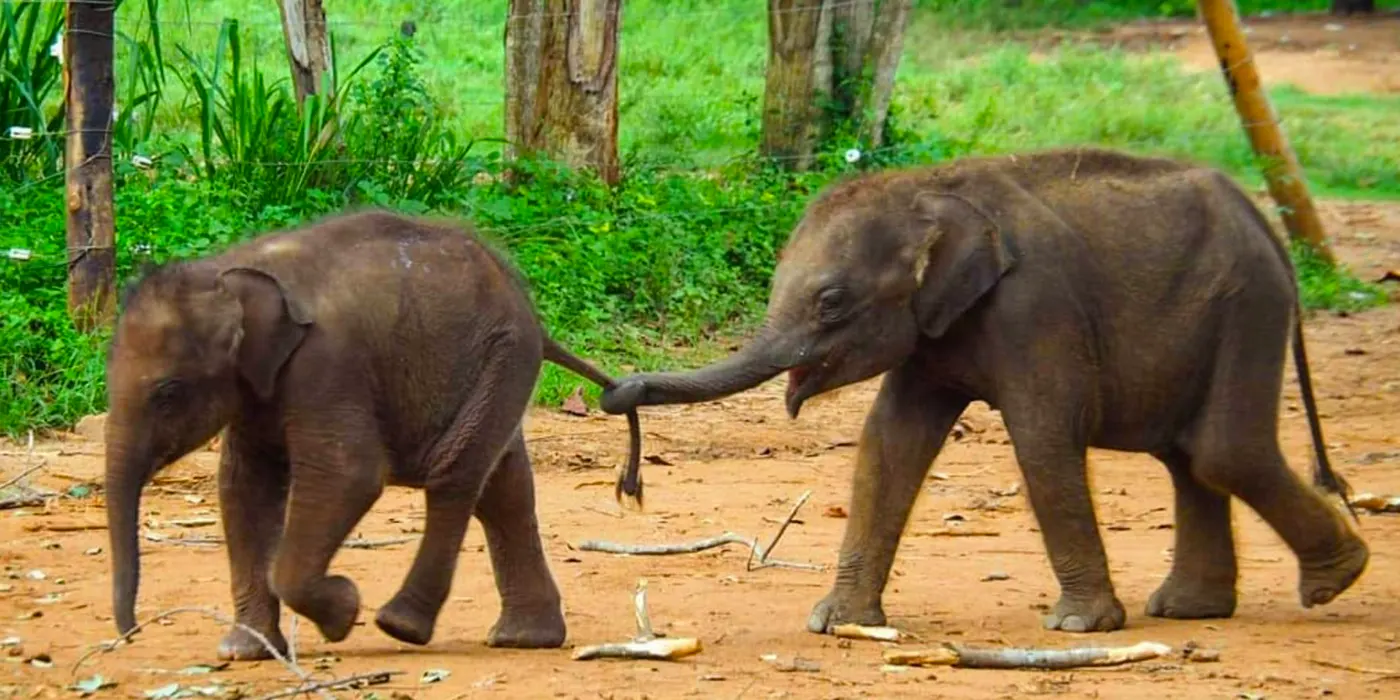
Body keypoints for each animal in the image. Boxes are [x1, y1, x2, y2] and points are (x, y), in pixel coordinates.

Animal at [103, 209, 643, 660]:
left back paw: (400, 625)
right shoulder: (257, 389)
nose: (131, 635)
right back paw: (524, 639)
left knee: (455, 474)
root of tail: (531, 311)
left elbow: (349, 475)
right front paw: (245, 652)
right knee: (503, 488)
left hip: (503, 356)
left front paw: (343, 613)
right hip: (497, 369)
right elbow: (243, 489)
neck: (229, 269)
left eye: (168, 393)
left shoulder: (327, 364)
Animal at [600, 147, 1369, 634]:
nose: (615, 393)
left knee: (1221, 451)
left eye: (831, 302)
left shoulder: (1036, 309)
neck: (927, 188)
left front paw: (1077, 626)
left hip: (1248, 304)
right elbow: (889, 443)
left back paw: (1335, 581)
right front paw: (837, 624)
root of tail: (1265, 221)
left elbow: (1043, 436)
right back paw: (1191, 609)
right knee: (1189, 458)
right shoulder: (933, 332)